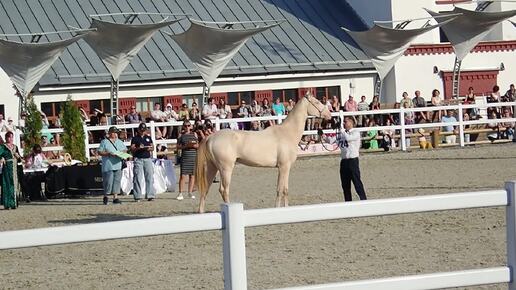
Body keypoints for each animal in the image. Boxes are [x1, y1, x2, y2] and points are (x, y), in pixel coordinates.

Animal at [196, 93, 332, 213]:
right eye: (317, 102)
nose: (329, 115)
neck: (287, 133)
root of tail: (211, 137)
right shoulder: (283, 167)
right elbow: (280, 189)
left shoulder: (286, 168)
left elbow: (285, 190)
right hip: (225, 168)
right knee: (224, 190)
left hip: (212, 168)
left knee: (205, 189)